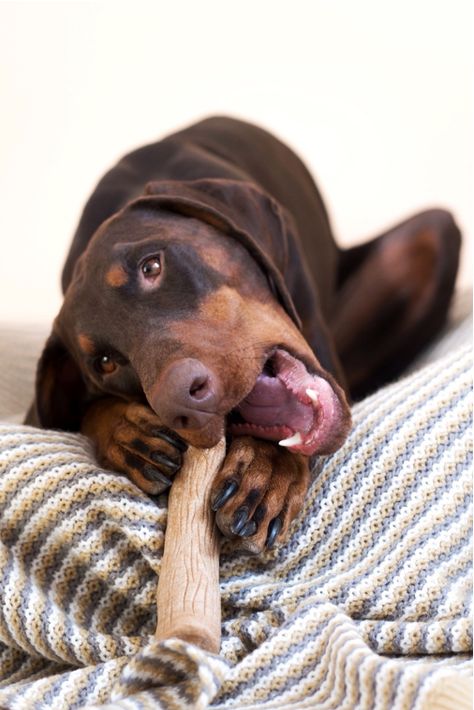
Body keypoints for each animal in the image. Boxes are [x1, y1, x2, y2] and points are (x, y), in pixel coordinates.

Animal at [25, 117, 460, 556]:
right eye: (105, 363)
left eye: (152, 266)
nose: (180, 402)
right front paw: (126, 431)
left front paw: (268, 467)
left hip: (433, 232)